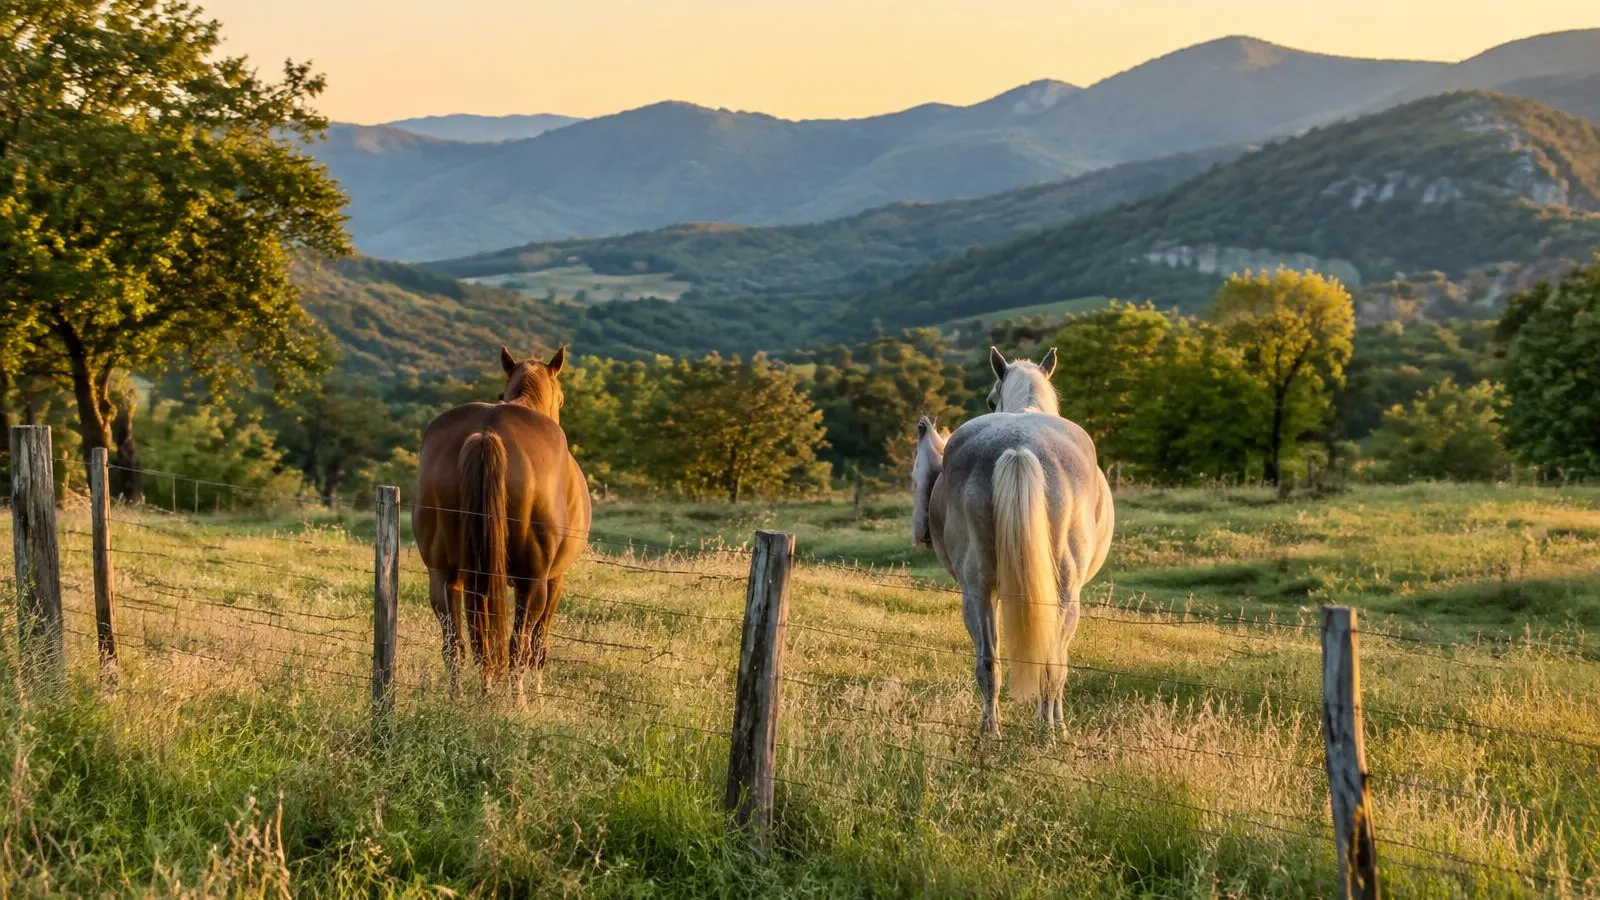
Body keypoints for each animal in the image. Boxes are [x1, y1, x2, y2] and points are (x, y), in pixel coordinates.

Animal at [413, 345, 592, 703]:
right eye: (562, 399)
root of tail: (486, 433)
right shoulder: (555, 580)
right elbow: (538, 644)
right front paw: (538, 692)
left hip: (445, 574)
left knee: (459, 644)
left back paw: (461, 698)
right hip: (532, 582)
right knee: (517, 645)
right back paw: (518, 701)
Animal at [911, 346, 1115, 735]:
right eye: (992, 400)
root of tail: (1019, 446)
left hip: (979, 590)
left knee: (990, 663)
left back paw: (992, 731)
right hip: (1062, 593)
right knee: (1052, 664)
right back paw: (1050, 729)